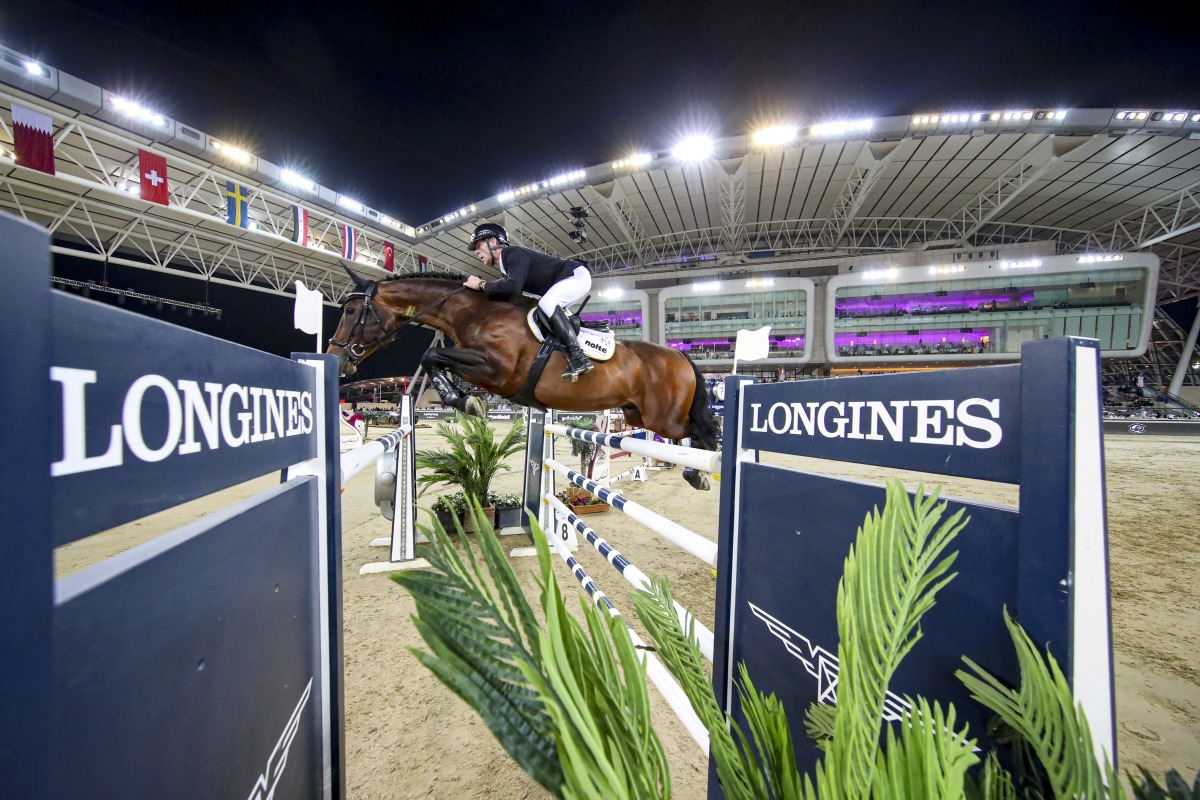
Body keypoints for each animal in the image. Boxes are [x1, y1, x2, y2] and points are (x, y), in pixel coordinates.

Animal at [328, 268, 715, 491]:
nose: (336, 357)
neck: (475, 311)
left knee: (703, 431)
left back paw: (700, 474)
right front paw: (466, 400)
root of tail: (680, 354)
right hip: (638, 414)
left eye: (351, 310)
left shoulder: (496, 371)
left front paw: (466, 401)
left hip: (663, 417)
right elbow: (435, 360)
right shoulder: (486, 372)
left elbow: (432, 357)